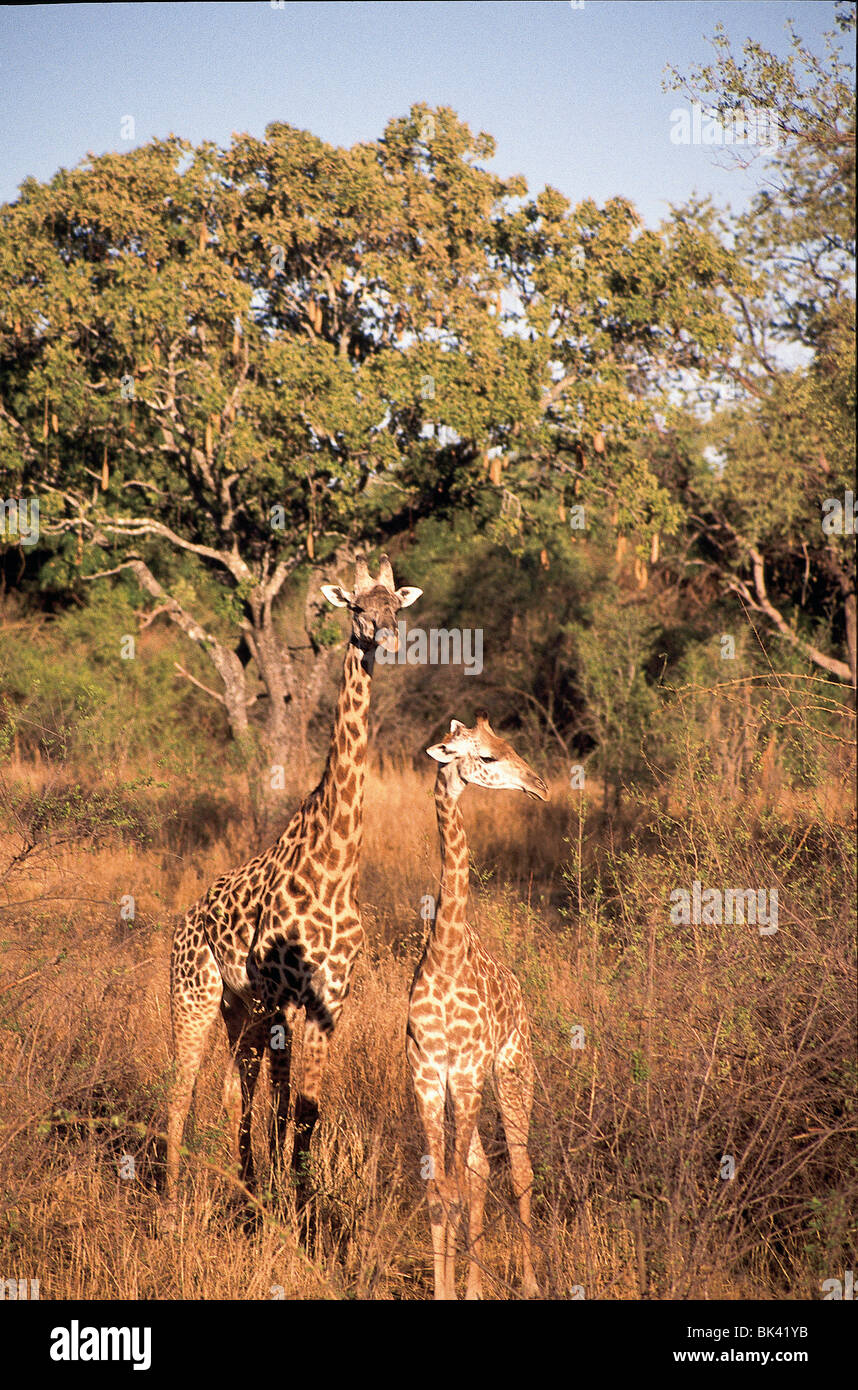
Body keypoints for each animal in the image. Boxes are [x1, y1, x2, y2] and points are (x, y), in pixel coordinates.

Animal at [165, 553, 419, 1206]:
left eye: (397, 607)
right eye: (357, 607)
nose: (386, 637)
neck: (335, 868)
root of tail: (184, 921)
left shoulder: (331, 995)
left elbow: (306, 1108)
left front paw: (297, 1202)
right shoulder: (277, 992)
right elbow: (277, 1100)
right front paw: (279, 1201)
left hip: (234, 1006)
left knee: (235, 1085)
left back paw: (246, 1182)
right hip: (196, 995)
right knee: (185, 1087)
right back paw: (173, 1198)